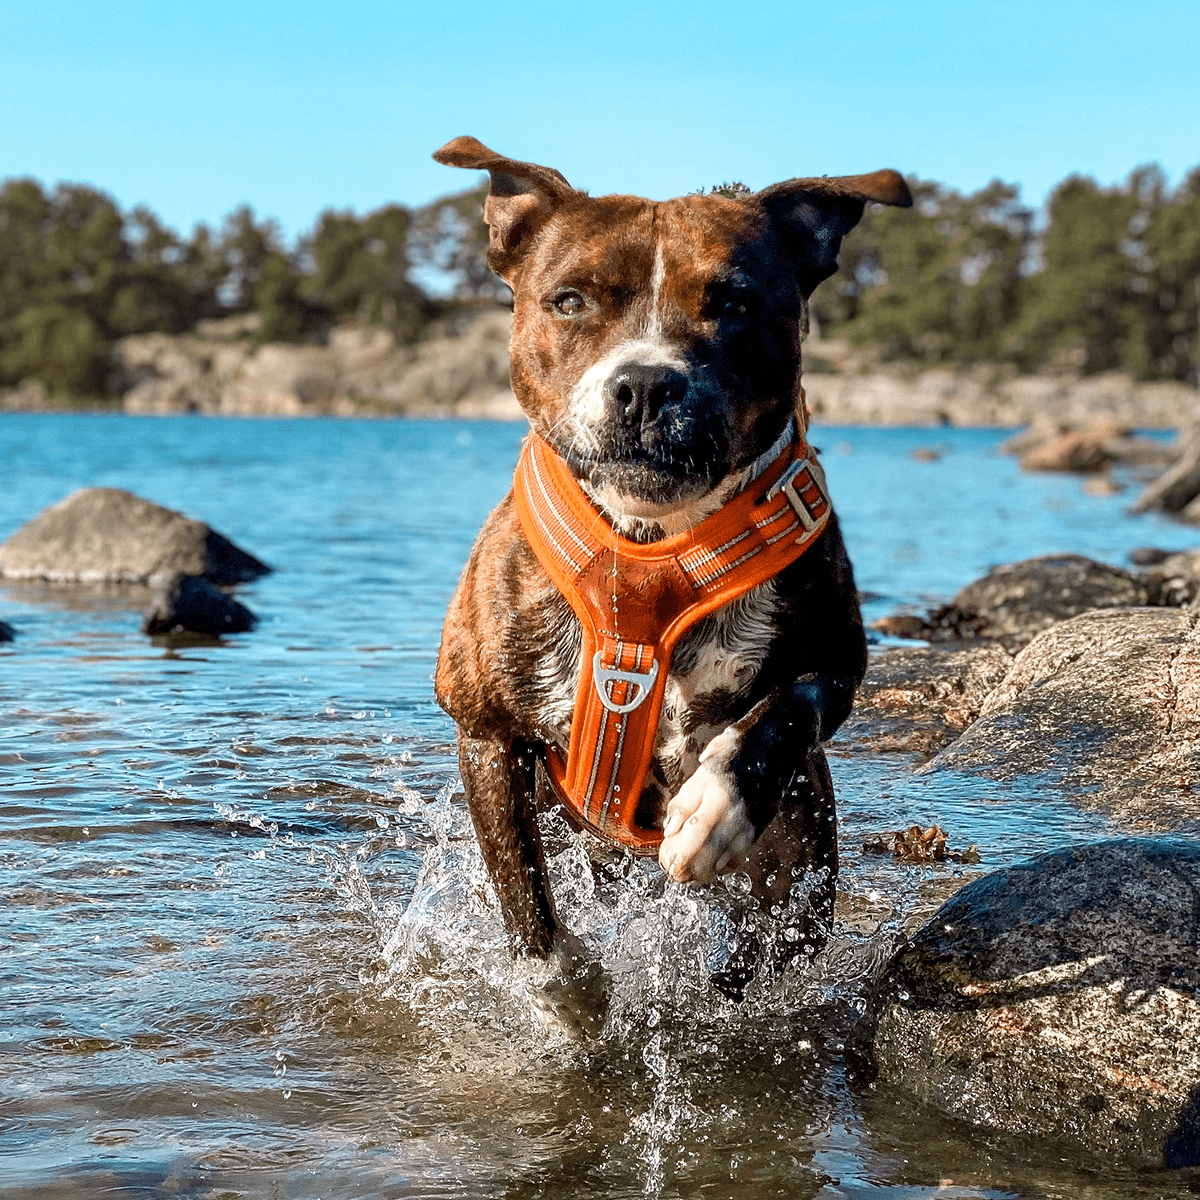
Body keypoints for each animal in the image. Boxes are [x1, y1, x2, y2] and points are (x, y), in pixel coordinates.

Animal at [432, 138, 907, 1041]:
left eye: (732, 303)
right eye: (570, 300)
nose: (647, 384)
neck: (652, 543)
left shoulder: (837, 658)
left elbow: (780, 714)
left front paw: (714, 806)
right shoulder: (484, 729)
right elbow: (528, 910)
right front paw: (574, 997)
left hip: (807, 863)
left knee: (760, 951)